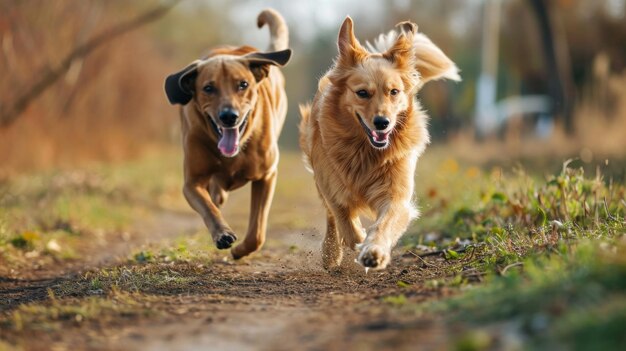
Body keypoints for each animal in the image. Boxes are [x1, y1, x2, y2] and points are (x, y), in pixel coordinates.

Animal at [166, 9, 292, 260]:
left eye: (243, 84)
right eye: (208, 88)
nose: (229, 116)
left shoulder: (267, 175)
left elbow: (257, 233)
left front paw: (240, 251)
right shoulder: (192, 182)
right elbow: (209, 208)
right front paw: (222, 233)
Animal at [298, 17, 458, 270]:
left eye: (394, 92)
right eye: (362, 93)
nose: (383, 123)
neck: (365, 151)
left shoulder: (396, 195)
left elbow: (385, 224)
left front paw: (374, 250)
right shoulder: (333, 188)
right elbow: (345, 223)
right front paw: (356, 242)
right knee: (332, 218)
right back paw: (331, 253)